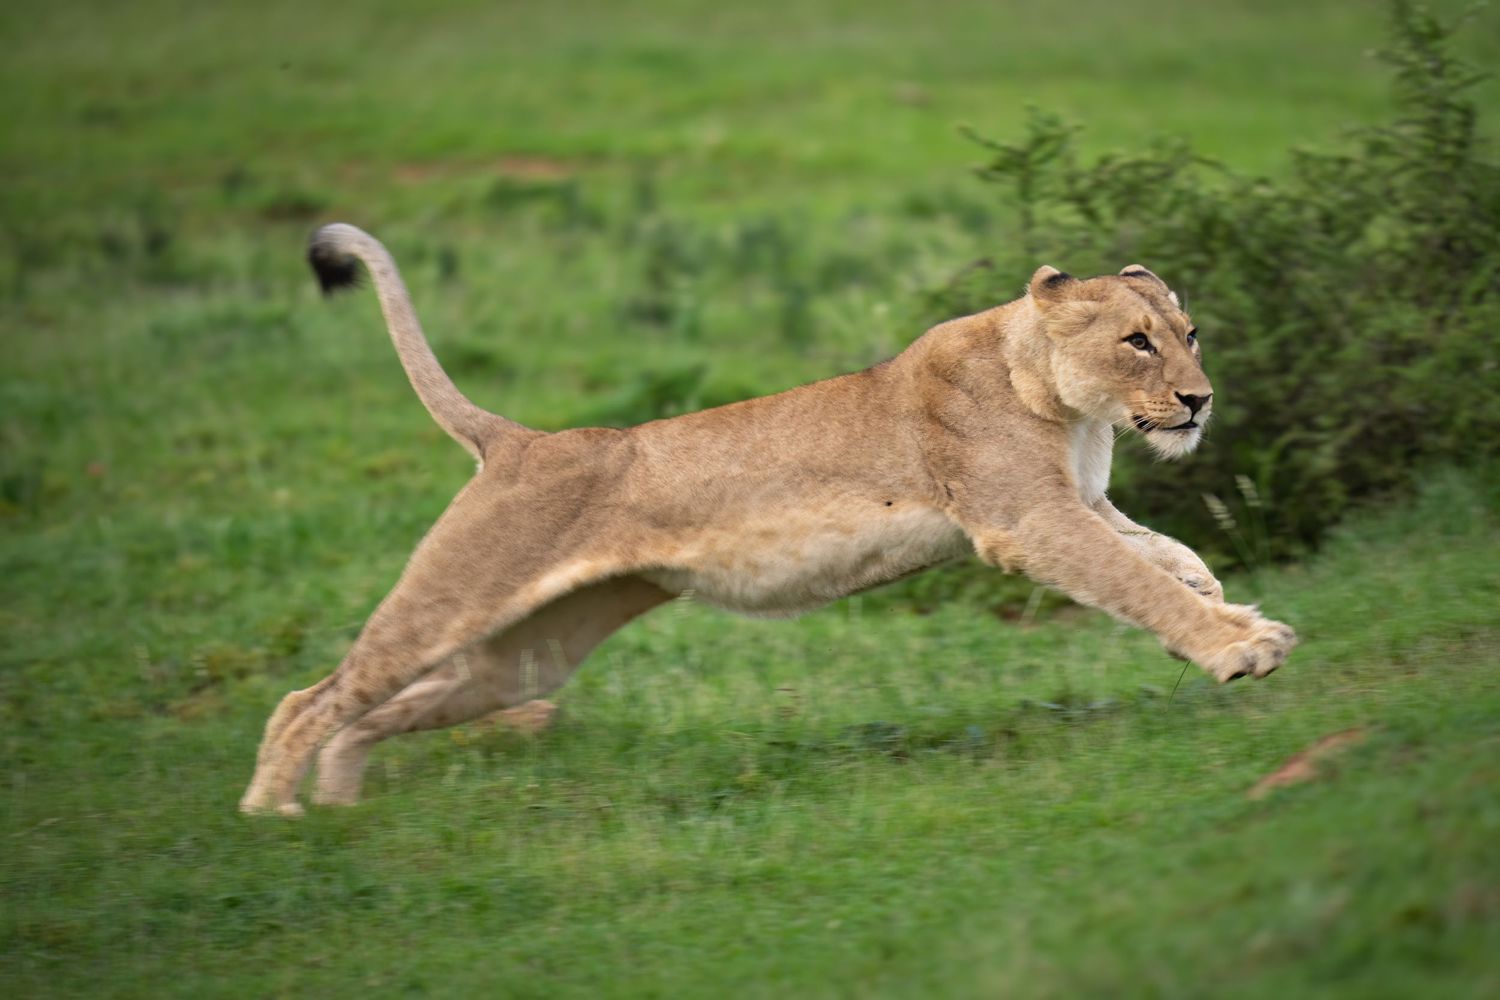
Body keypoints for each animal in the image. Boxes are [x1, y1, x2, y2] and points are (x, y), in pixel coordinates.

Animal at [239, 223, 1296, 815]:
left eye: (1190, 335)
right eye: (1137, 342)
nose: (1199, 401)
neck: (1068, 404)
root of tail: (518, 440)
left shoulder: (1079, 504)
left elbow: (1164, 554)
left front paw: (1230, 607)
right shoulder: (1027, 520)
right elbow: (1134, 582)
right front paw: (1236, 648)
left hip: (526, 657)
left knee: (377, 709)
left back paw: (341, 797)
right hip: (452, 597)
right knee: (310, 697)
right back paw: (276, 822)